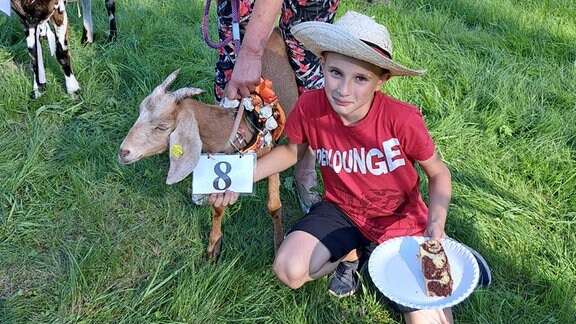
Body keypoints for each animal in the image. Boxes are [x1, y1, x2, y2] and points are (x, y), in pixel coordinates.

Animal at [117, 29, 296, 258]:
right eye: (139, 112)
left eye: (162, 127)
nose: (123, 152)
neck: (239, 125)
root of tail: (273, 30)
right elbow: (218, 207)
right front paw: (213, 248)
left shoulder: (273, 152)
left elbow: (274, 205)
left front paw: (279, 243)